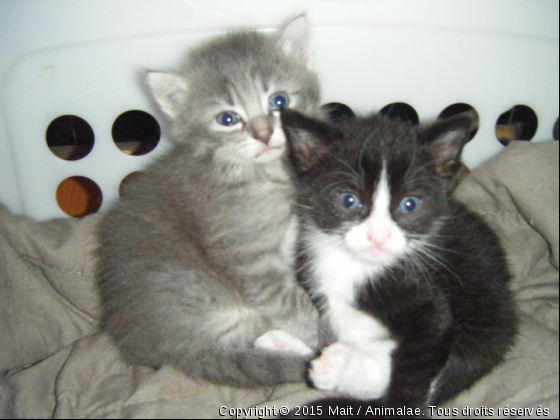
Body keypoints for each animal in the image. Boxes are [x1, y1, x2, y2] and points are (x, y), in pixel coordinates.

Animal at [97, 18, 320, 388]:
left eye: (279, 100)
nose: (263, 133)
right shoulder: (247, 256)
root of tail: (166, 351)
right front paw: (318, 331)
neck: (262, 173)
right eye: (227, 119)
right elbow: (285, 301)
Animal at [282, 108, 520, 414]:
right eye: (349, 200)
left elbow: (416, 366)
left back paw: (337, 367)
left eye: (410, 204)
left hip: (486, 313)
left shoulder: (429, 306)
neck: (356, 267)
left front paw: (398, 402)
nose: (378, 237)